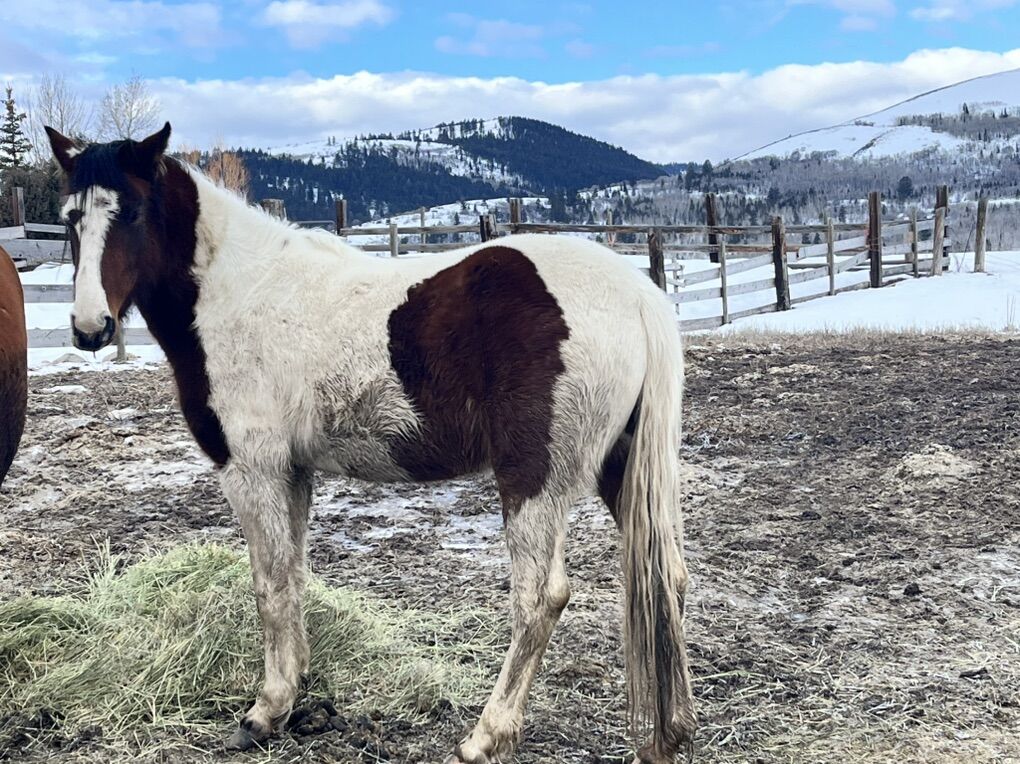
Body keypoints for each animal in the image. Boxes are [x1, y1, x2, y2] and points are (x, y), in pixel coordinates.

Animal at [45, 123, 696, 764]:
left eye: (131, 213)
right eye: (71, 217)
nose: (90, 329)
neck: (240, 292)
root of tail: (638, 295)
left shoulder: (252, 471)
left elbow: (268, 586)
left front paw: (266, 710)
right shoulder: (293, 472)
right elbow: (293, 575)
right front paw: (296, 687)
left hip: (533, 480)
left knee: (540, 599)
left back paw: (486, 736)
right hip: (620, 471)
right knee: (668, 575)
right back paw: (670, 732)